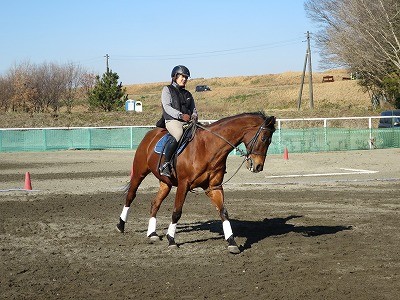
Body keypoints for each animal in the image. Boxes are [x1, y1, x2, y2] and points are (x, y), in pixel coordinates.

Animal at [115, 110, 276, 253]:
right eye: (263, 139)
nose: (258, 166)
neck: (208, 147)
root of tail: (150, 134)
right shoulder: (183, 185)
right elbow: (177, 212)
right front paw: (171, 240)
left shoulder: (214, 187)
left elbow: (223, 212)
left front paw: (232, 242)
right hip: (139, 173)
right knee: (130, 196)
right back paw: (121, 225)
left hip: (166, 183)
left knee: (155, 203)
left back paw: (152, 234)